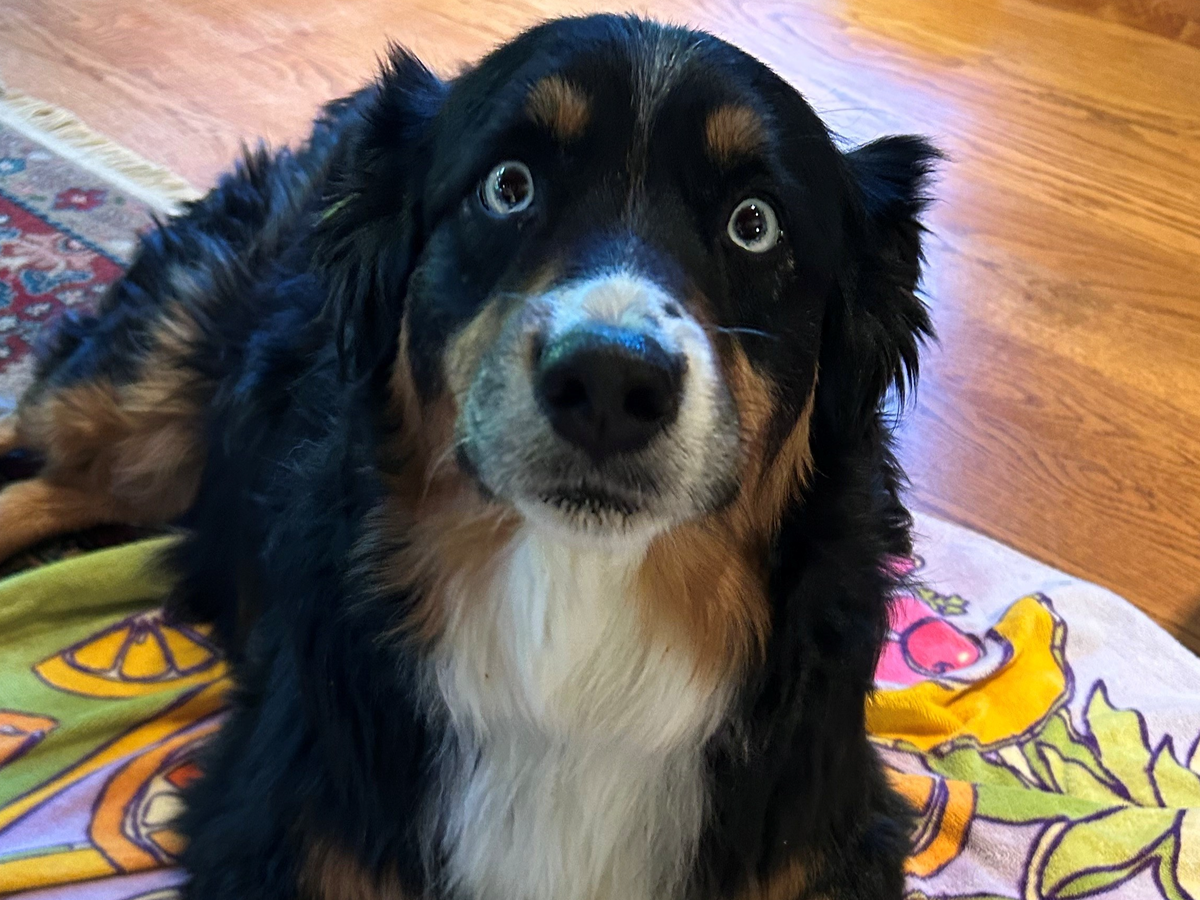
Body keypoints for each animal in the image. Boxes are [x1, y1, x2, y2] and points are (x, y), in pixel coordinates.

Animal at [0, 14, 937, 900]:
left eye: (755, 225)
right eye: (507, 186)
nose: (608, 380)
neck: (579, 616)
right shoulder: (274, 823)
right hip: (145, 399)